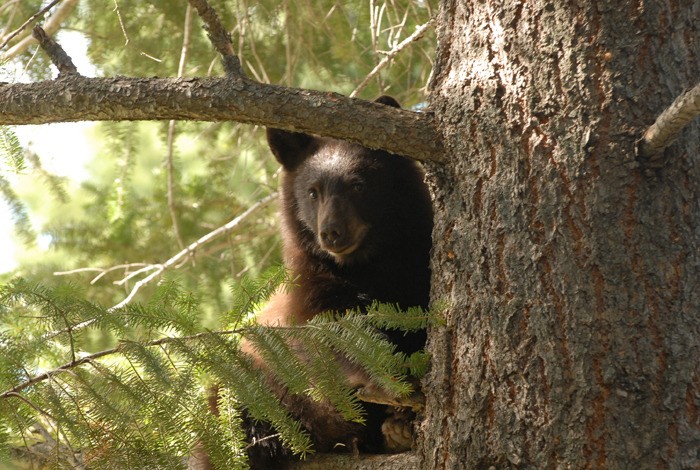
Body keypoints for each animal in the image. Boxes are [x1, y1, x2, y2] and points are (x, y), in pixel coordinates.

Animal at [245, 94, 432, 466]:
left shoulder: (416, 266)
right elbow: (337, 336)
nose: (331, 232)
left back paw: (395, 430)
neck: (368, 265)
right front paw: (387, 377)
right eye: (312, 192)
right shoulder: (313, 286)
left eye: (358, 185)